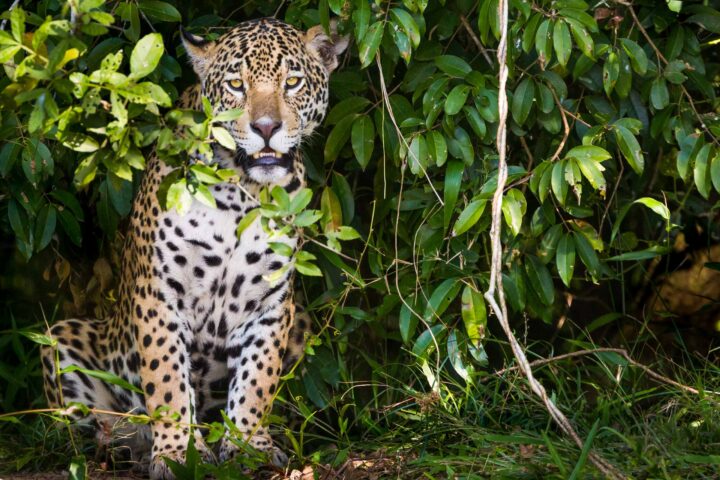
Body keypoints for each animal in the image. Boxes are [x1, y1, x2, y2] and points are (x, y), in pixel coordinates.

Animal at [40, 17, 348, 479]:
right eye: (236, 85)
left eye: (292, 82)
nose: (266, 128)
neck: (243, 191)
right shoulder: (159, 296)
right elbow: (166, 379)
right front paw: (177, 453)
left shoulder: (271, 305)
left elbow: (258, 381)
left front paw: (248, 447)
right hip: (61, 338)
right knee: (85, 426)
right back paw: (124, 441)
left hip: (304, 323)